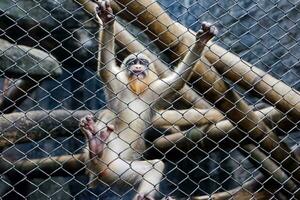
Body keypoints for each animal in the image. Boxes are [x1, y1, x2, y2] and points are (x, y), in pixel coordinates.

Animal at [78, 0, 217, 198]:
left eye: (142, 63)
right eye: (132, 63)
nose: (137, 67)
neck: (136, 91)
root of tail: (98, 173)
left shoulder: (155, 91)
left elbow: (178, 81)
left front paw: (202, 41)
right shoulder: (117, 83)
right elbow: (105, 68)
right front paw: (107, 21)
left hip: (118, 171)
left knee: (154, 166)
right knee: (108, 115)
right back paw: (96, 146)